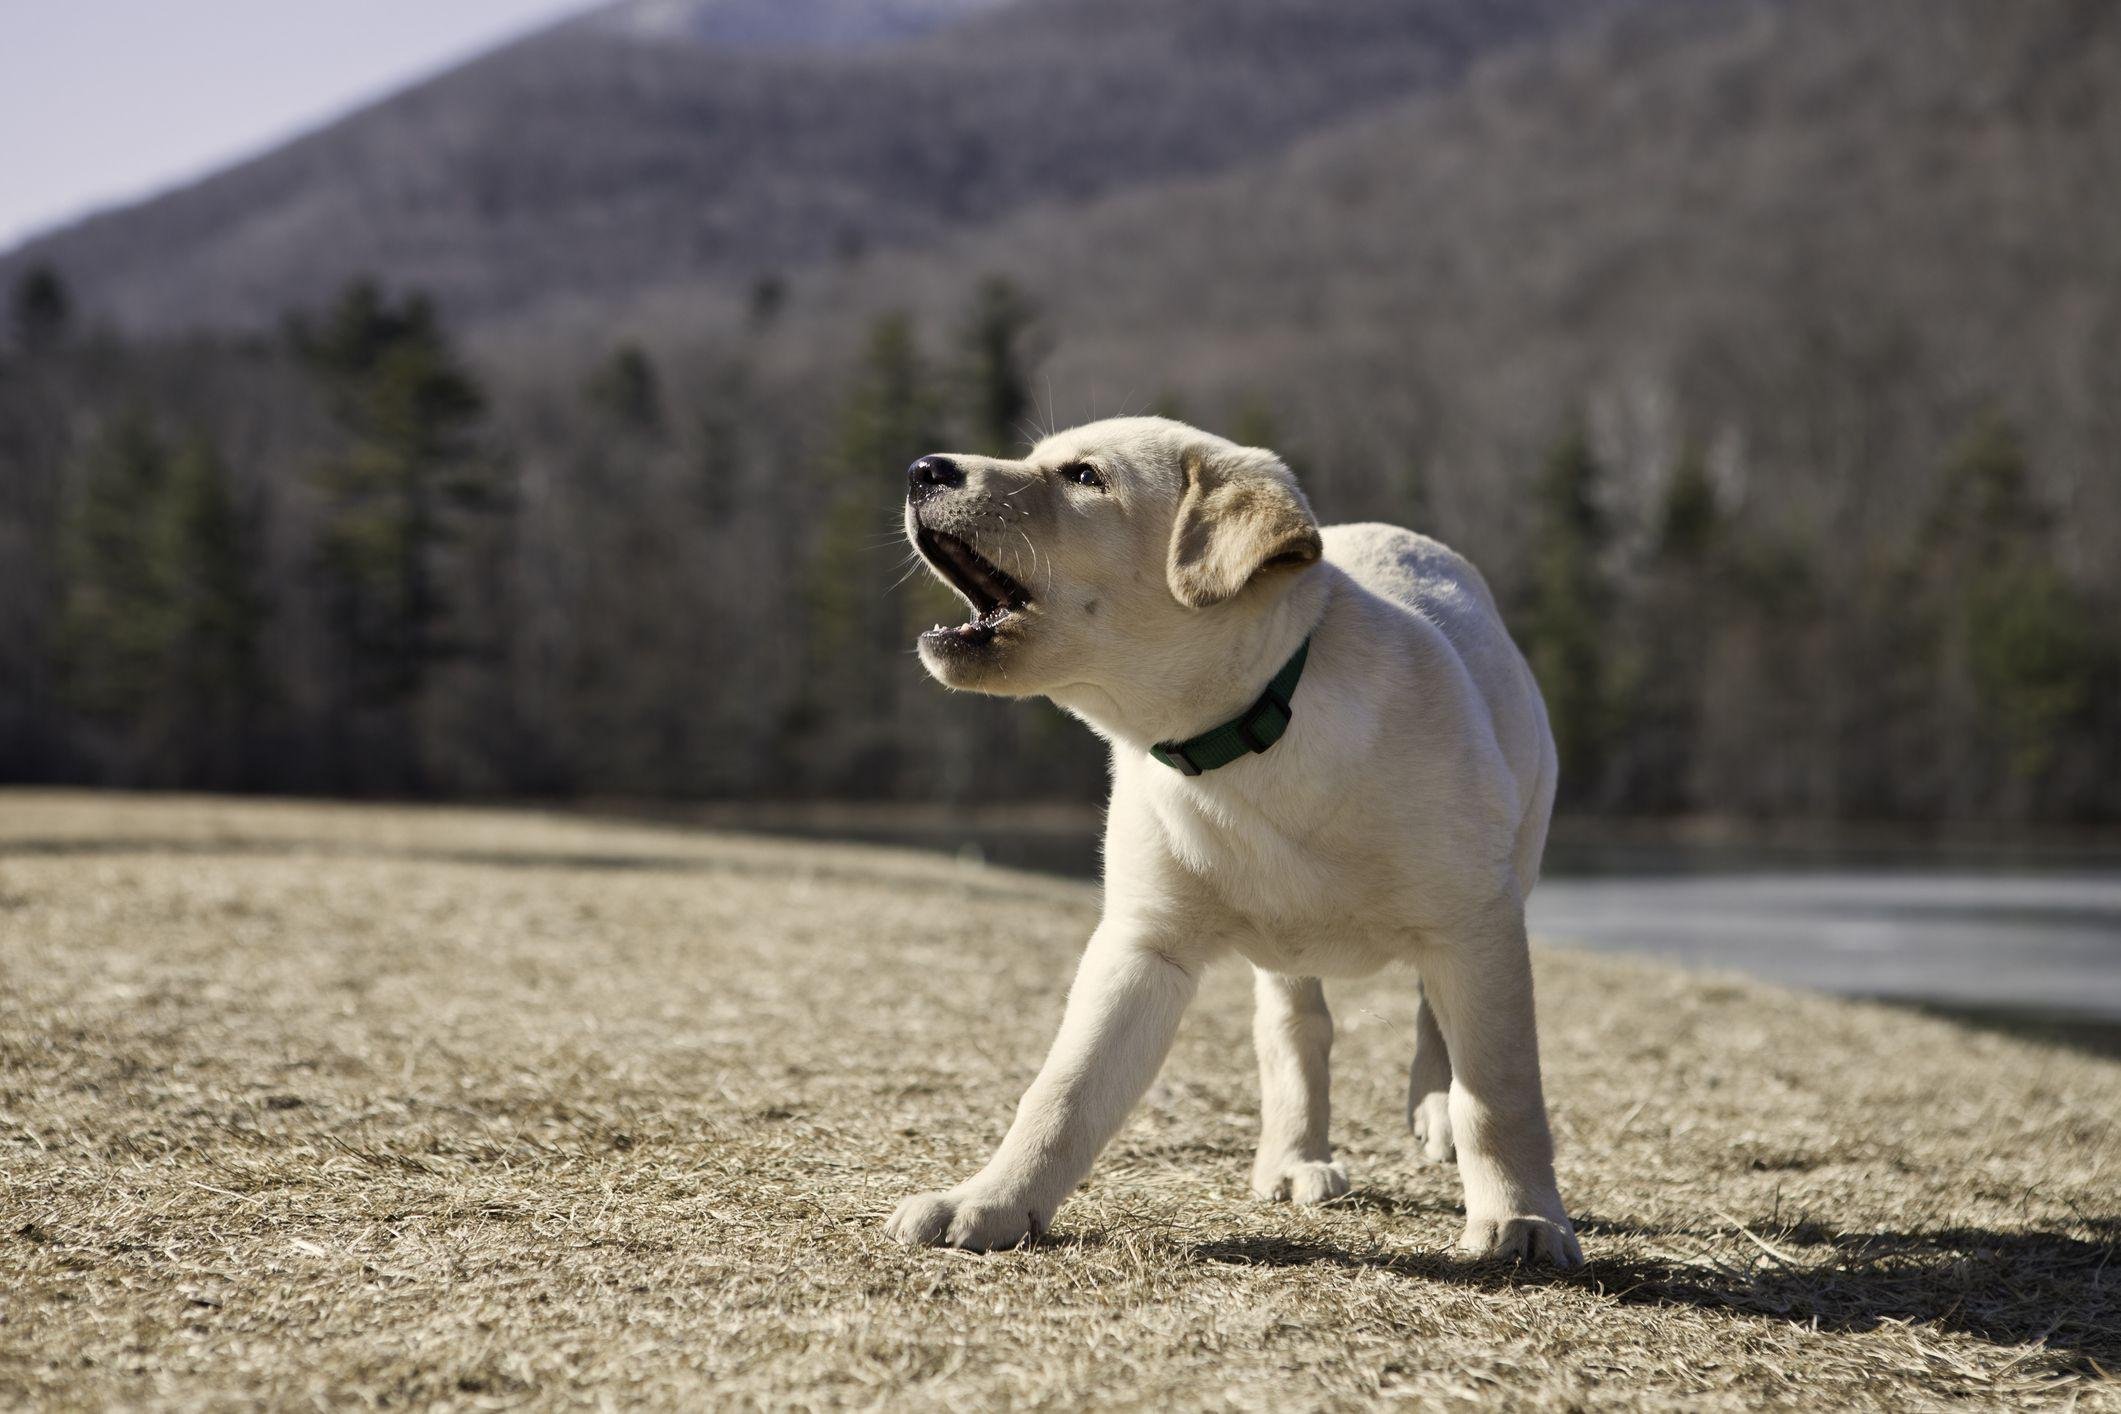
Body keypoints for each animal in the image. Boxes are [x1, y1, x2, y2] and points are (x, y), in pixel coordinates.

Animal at [882, 415, 1578, 1263]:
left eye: (1084, 477)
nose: (922, 469)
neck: (1246, 736)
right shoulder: (1142, 945)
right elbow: (1064, 1090)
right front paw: (990, 1202)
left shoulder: (1474, 922)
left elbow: (1499, 1089)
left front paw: (1523, 1219)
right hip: (1286, 952)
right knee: (1295, 1032)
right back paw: (1292, 1160)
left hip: (1509, 866)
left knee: (1433, 1019)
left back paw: (1431, 1111)